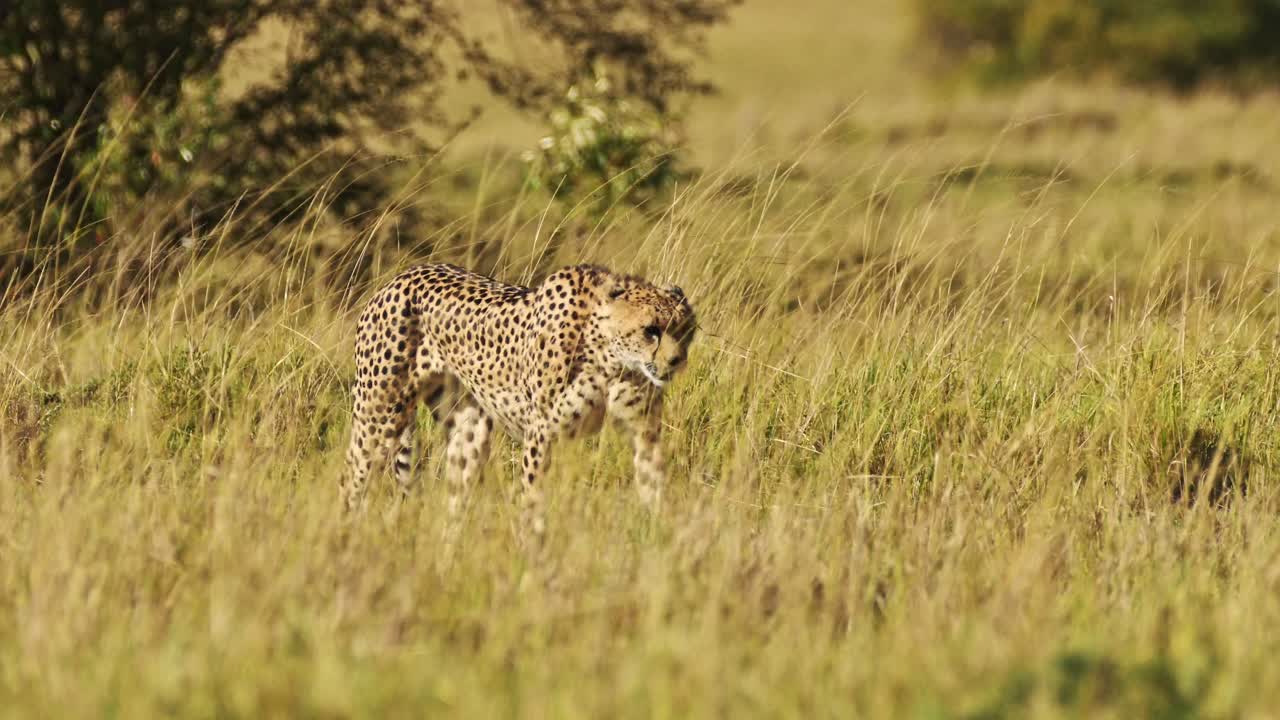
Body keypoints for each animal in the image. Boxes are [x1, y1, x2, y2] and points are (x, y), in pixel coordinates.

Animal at [343, 263, 696, 542]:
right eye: (651, 330)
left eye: (685, 328)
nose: (676, 361)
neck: (612, 359)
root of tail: (400, 277)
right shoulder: (541, 433)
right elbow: (533, 499)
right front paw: (532, 554)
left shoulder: (644, 430)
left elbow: (653, 481)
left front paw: (659, 537)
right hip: (378, 417)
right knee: (352, 481)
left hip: (468, 429)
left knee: (456, 498)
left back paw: (449, 555)